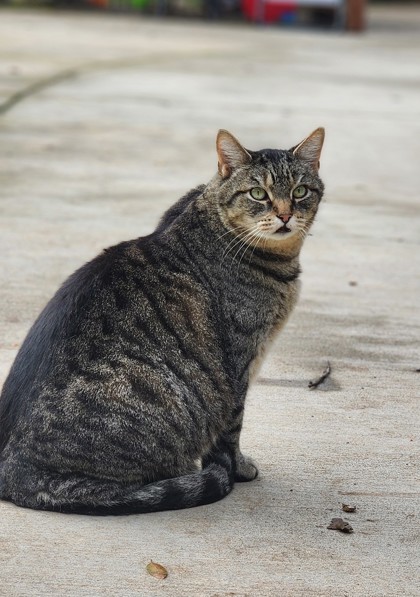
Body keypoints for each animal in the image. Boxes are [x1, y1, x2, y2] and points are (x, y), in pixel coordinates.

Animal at [0, 128, 324, 516]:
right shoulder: (239, 362)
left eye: (300, 191)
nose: (286, 215)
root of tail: (12, 471)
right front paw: (239, 468)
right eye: (258, 193)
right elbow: (232, 429)